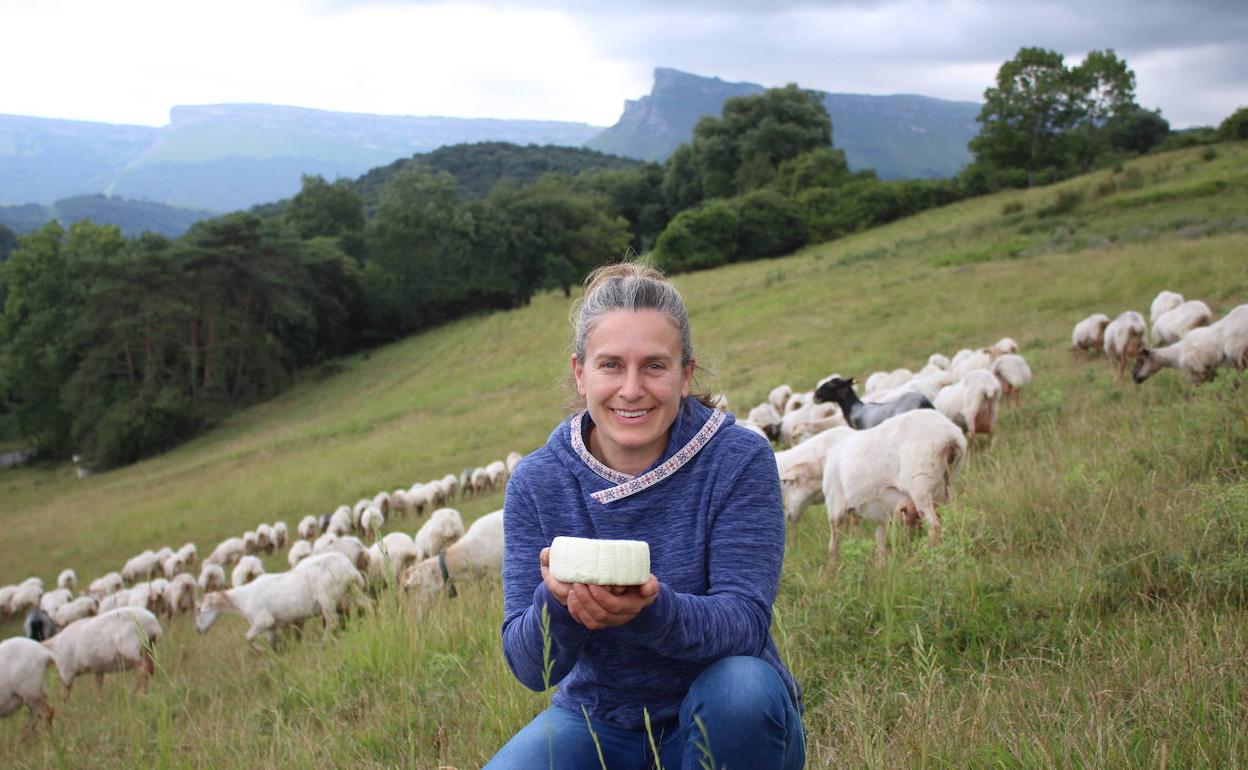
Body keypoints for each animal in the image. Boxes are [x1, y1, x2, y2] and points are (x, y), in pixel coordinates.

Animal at [197, 551, 364, 643]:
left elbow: (248, 638)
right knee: (365, 605)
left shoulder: (263, 621)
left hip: (327, 599)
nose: (198, 631)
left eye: (199, 610)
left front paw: (260, 651)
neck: (241, 600)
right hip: (351, 590)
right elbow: (273, 644)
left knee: (332, 623)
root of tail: (347, 567)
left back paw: (323, 643)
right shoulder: (272, 626)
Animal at [823, 411, 968, 566]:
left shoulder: (835, 505)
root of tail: (950, 436)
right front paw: (881, 567)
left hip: (920, 485)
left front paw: (830, 570)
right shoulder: (883, 515)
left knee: (934, 525)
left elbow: (834, 543)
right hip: (944, 489)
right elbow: (880, 541)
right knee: (950, 519)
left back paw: (919, 558)